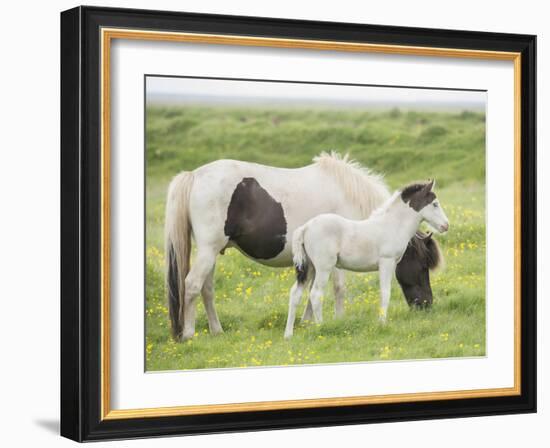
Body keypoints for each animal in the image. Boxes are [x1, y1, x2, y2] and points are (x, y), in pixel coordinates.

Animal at [286, 180, 450, 338]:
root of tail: (306, 227)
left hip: (309, 267)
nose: (446, 225)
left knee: (295, 294)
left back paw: (288, 335)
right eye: (435, 204)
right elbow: (385, 292)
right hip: (323, 268)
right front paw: (382, 323)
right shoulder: (386, 262)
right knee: (316, 294)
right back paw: (321, 327)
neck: (392, 225)